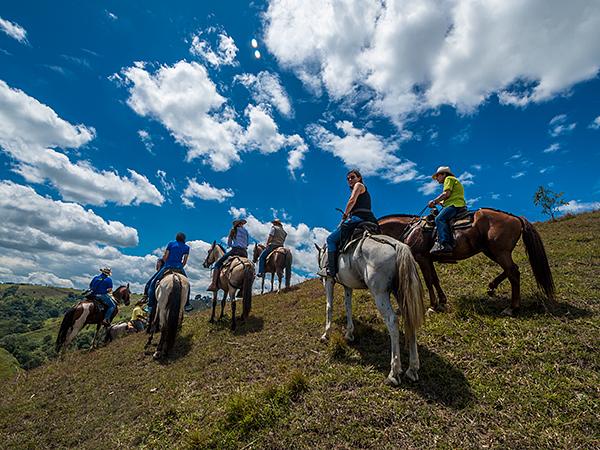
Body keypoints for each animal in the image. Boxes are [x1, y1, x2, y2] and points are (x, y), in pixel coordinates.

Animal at [316, 234, 424, 384]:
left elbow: (329, 306)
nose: (319, 279)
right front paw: (349, 333)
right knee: (409, 320)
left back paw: (393, 372)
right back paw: (412, 369)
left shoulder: (329, 280)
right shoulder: (347, 286)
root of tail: (397, 245)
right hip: (401, 293)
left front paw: (326, 334)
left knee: (392, 321)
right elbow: (348, 306)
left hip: (380, 294)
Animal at [378, 208, 556, 316]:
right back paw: (492, 287)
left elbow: (428, 281)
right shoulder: (429, 259)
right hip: (491, 251)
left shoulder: (422, 258)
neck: (410, 229)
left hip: (500, 252)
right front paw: (442, 302)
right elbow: (435, 280)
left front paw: (433, 306)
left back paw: (512, 308)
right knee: (511, 270)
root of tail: (515, 217)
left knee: (513, 273)